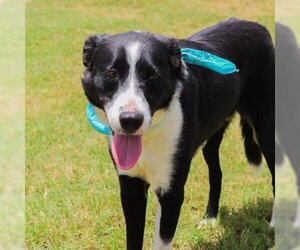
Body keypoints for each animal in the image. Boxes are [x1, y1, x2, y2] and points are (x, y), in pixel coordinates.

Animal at [81, 18, 274, 249]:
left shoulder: (171, 192)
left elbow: (161, 241)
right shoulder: (130, 187)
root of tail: (256, 26)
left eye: (154, 76)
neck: (150, 134)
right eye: (111, 73)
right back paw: (210, 218)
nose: (130, 120)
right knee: (216, 171)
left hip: (265, 129)